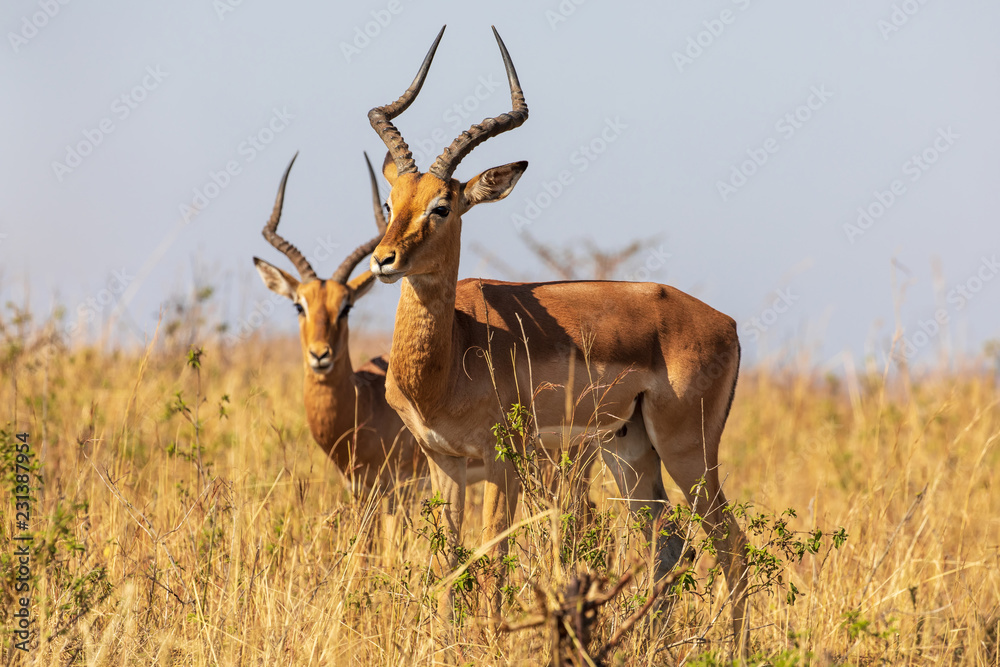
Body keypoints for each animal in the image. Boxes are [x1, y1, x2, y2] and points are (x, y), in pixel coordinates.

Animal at [366, 26, 750, 646]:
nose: (384, 259)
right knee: (667, 541)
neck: (452, 354)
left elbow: (493, 557)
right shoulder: (442, 460)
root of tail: (727, 323)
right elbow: (447, 557)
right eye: (390, 201)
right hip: (629, 452)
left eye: (442, 206)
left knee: (728, 541)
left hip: (688, 452)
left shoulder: (502, 460)